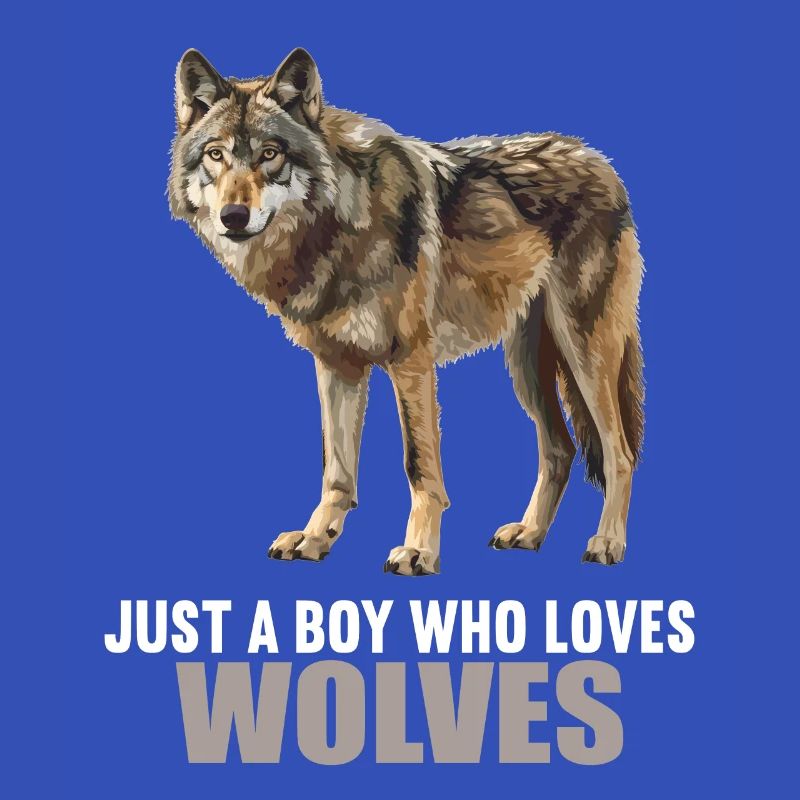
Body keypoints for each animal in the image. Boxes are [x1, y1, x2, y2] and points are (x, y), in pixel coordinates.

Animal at [168, 48, 644, 575]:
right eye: (216, 155)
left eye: (270, 154)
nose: (233, 217)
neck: (340, 226)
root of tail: (600, 161)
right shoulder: (337, 365)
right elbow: (337, 470)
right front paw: (315, 538)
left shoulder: (410, 361)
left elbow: (419, 466)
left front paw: (419, 550)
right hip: (525, 365)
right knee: (560, 448)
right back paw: (530, 533)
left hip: (584, 352)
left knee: (620, 453)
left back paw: (608, 542)